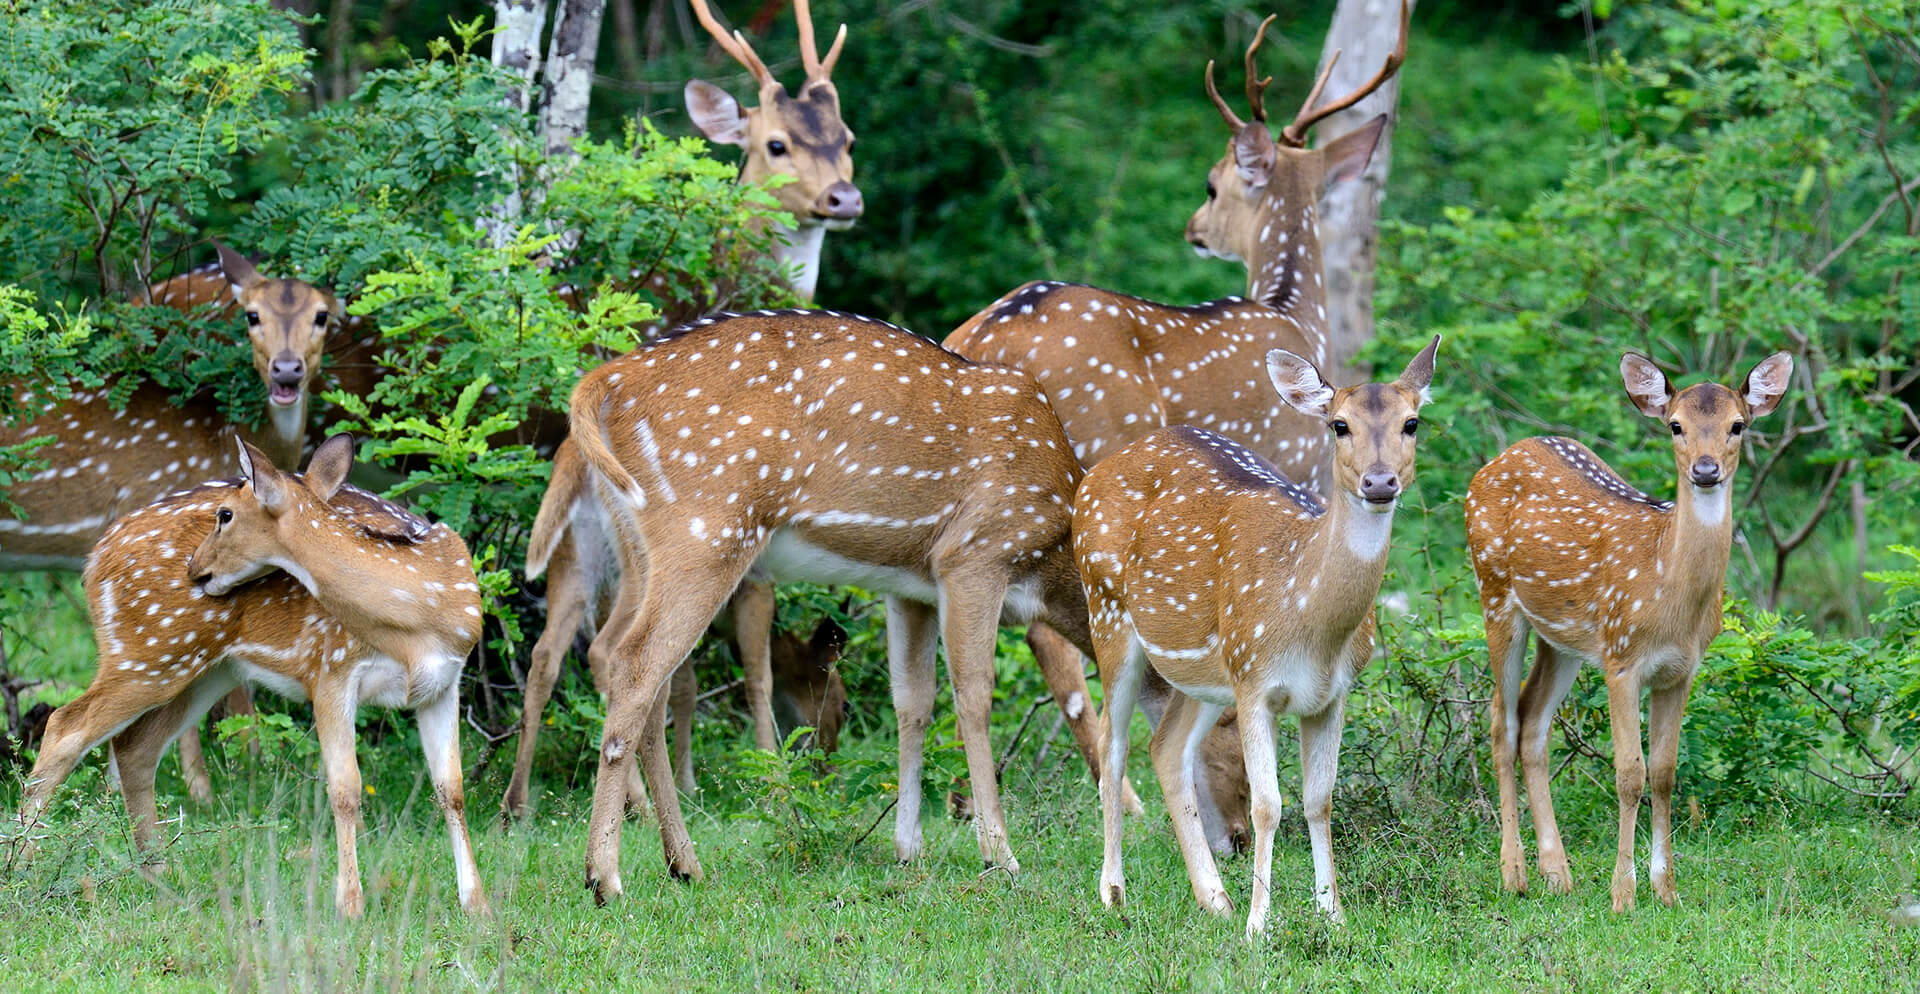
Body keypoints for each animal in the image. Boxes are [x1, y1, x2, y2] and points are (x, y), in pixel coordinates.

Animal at [13, 434, 488, 917]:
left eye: (226, 514)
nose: (194, 567)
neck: (416, 627)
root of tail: (94, 559)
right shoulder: (330, 670)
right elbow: (345, 790)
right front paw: (350, 906)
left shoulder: (444, 684)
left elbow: (452, 788)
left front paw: (477, 905)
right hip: (146, 652)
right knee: (65, 726)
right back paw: (24, 866)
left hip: (205, 669)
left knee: (135, 746)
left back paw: (159, 874)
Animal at [565, 308, 1126, 900]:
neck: (1053, 557)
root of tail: (605, 382)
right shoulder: (974, 555)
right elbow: (974, 695)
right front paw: (999, 854)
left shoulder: (911, 587)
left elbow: (913, 701)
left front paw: (908, 846)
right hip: (706, 527)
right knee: (637, 662)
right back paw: (605, 875)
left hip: (641, 548)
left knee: (646, 671)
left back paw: (683, 863)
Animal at [942, 4, 1408, 857]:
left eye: (1211, 184)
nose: (1194, 227)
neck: (1295, 312)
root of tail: (977, 338)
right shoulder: (1296, 464)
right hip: (1077, 463)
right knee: (1055, 635)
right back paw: (1123, 802)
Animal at [1076, 335, 1438, 936]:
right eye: (1338, 425)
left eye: (1412, 422)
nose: (1380, 482)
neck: (1312, 625)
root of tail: (1089, 477)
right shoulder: (1254, 680)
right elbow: (1267, 804)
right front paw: (1259, 925)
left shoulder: (1332, 693)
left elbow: (1319, 799)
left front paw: (1333, 915)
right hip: (1106, 610)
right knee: (1112, 745)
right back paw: (1113, 891)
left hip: (1204, 672)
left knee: (1165, 747)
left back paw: (1213, 897)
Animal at [1466, 350, 1793, 913]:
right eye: (1676, 425)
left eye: (1738, 425)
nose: (1705, 470)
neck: (1669, 593)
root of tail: (1502, 456)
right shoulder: (1622, 658)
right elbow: (1628, 773)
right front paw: (1623, 893)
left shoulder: (1680, 670)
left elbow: (1664, 772)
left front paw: (1667, 890)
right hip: (1494, 593)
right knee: (1499, 719)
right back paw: (1514, 874)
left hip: (1563, 639)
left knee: (1531, 721)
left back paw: (1558, 873)